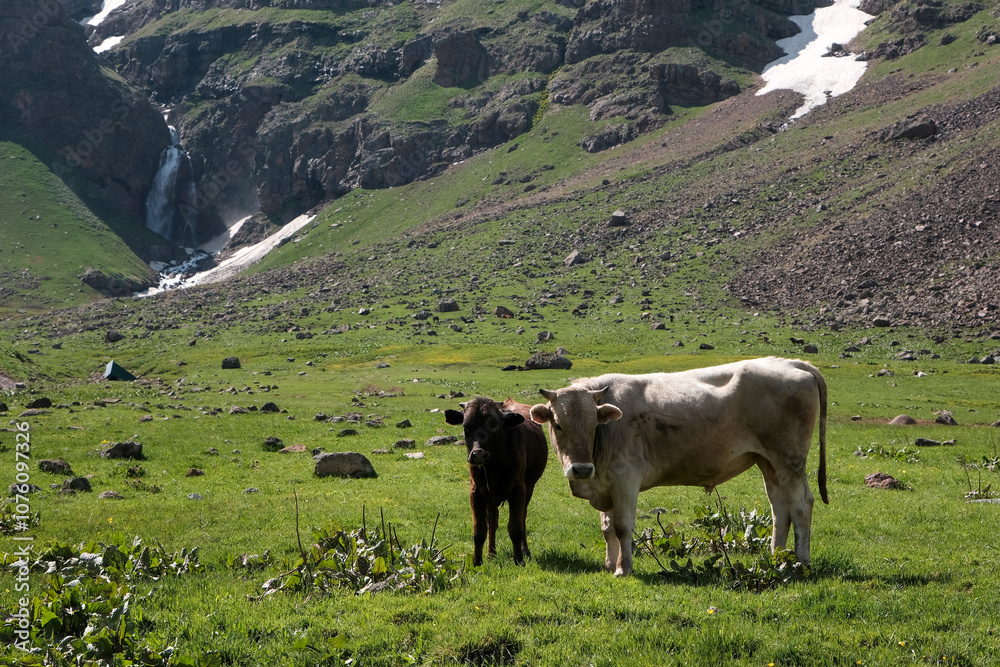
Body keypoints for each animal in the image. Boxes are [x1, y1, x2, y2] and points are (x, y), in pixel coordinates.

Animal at [445, 397, 548, 566]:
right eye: (466, 426)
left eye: (493, 425)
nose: (479, 454)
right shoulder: (476, 491)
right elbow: (480, 530)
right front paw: (477, 561)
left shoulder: (518, 490)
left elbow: (515, 527)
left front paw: (518, 560)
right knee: (493, 520)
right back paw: (491, 553)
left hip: (529, 488)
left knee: (522, 517)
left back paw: (525, 550)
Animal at [529, 357, 827, 577]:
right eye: (558, 424)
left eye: (593, 426)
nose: (581, 469)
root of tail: (791, 363)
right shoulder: (604, 483)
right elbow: (607, 528)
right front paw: (609, 565)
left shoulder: (625, 479)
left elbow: (623, 527)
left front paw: (623, 569)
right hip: (770, 464)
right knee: (780, 511)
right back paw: (776, 557)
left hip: (789, 461)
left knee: (801, 506)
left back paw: (801, 562)